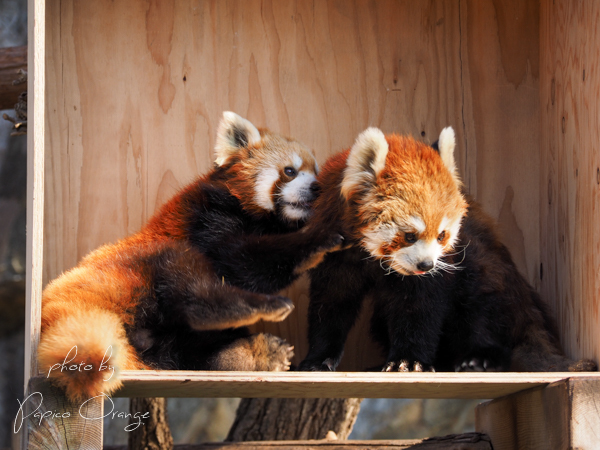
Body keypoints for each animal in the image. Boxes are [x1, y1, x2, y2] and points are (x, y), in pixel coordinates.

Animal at [39, 111, 342, 400]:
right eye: (290, 171)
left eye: (316, 173)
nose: (316, 188)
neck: (264, 220)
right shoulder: (206, 219)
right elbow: (241, 261)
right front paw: (318, 240)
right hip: (138, 262)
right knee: (191, 289)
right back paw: (258, 309)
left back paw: (251, 356)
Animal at [298, 125, 596, 372]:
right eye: (409, 235)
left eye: (442, 235)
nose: (426, 265)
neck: (373, 258)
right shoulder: (335, 253)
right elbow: (331, 304)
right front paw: (318, 359)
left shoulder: (439, 270)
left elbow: (420, 307)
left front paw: (409, 361)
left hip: (489, 274)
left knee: (481, 306)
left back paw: (480, 357)